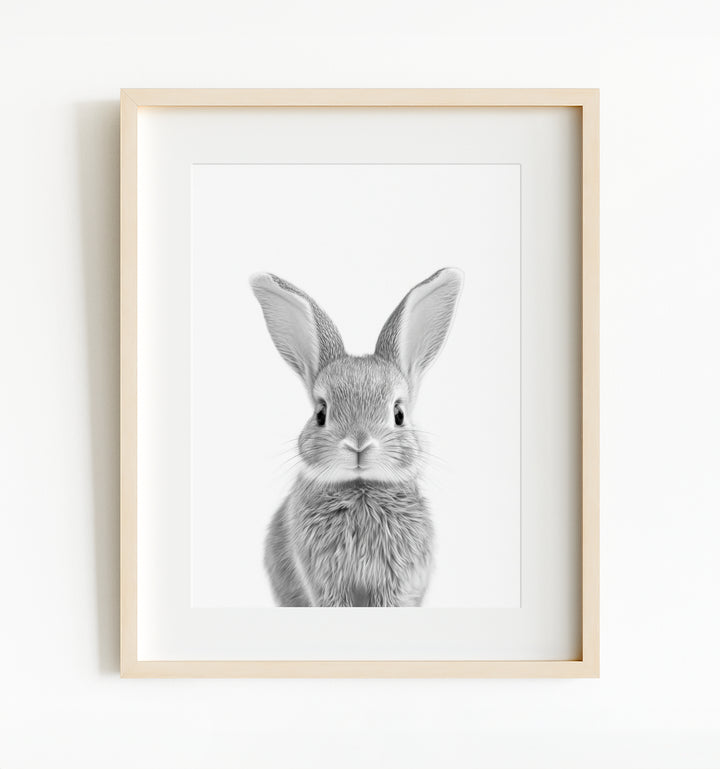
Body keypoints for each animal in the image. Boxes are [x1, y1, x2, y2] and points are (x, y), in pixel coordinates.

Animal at [250, 268, 463, 607]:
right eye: (321, 413)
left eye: (398, 414)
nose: (359, 444)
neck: (361, 487)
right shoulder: (325, 581)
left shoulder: (397, 581)